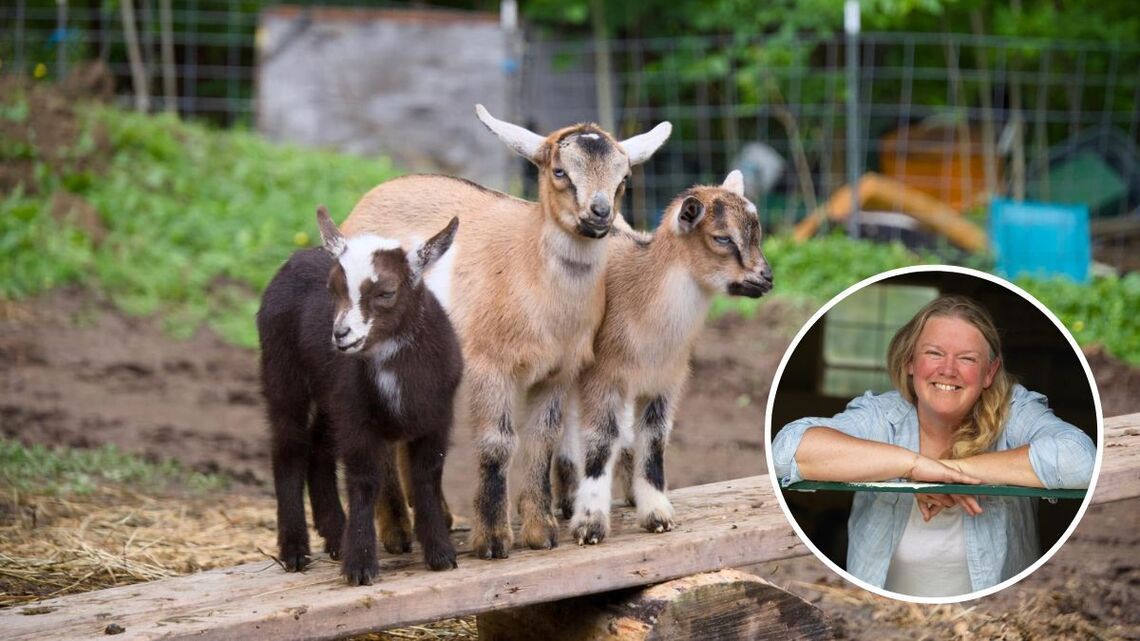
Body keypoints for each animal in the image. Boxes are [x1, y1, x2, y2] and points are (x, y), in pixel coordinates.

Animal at [257, 207, 461, 585]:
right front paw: (361, 565)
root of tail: (296, 257)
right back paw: (295, 550)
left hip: (329, 396)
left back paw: (336, 535)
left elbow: (427, 477)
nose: (341, 334)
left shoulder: (438, 417)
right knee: (288, 447)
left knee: (318, 448)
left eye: (386, 292)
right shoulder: (357, 419)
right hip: (282, 370)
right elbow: (365, 480)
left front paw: (441, 554)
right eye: (332, 288)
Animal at [340, 105, 671, 558]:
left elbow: (541, 440)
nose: (600, 213)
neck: (529, 267)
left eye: (624, 179)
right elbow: (497, 442)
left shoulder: (559, 370)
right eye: (559, 171)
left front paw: (541, 531)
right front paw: (494, 540)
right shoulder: (489, 364)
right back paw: (397, 534)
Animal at [568, 170, 774, 545]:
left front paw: (656, 513)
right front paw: (590, 524)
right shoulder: (602, 378)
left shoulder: (664, 383)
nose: (766, 279)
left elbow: (654, 442)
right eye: (722, 238)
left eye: (758, 233)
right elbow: (601, 441)